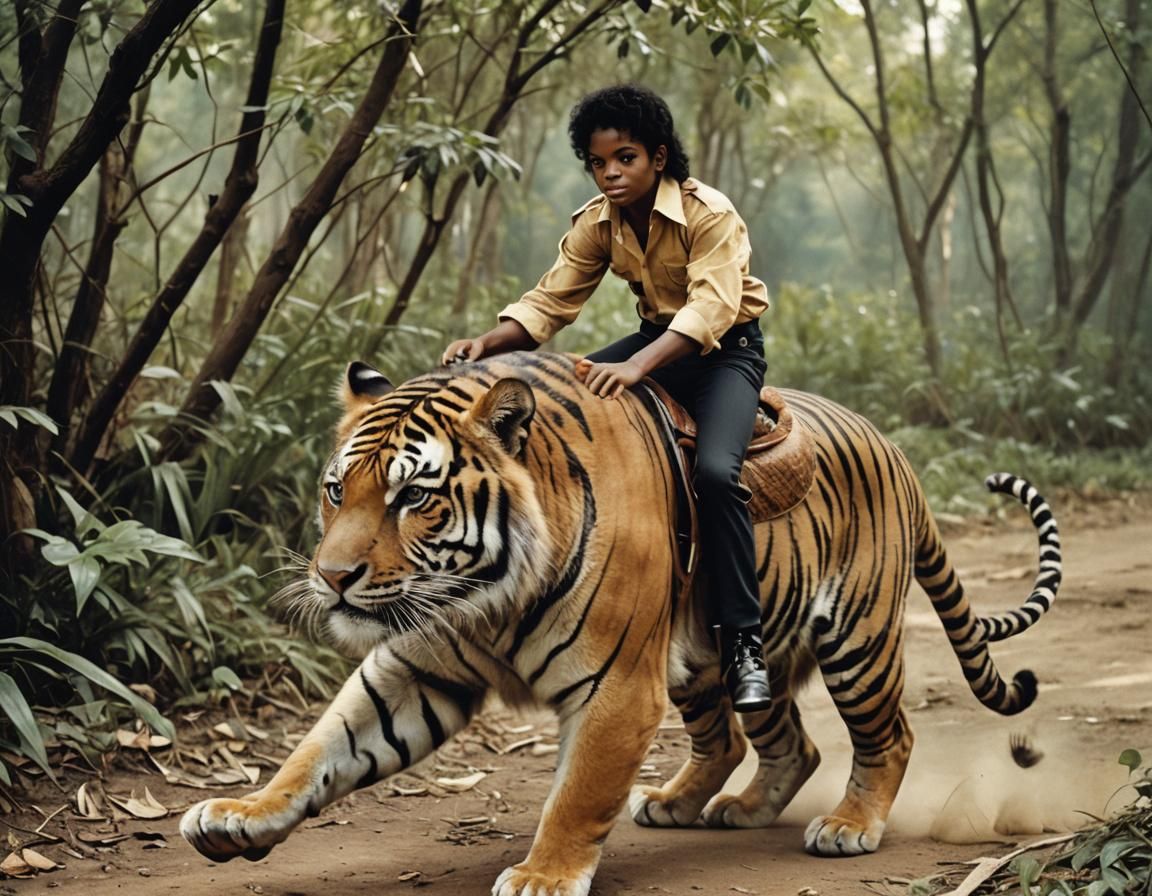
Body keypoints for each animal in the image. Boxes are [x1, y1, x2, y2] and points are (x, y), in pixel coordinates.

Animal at [180, 351, 1062, 896]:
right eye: (338, 490)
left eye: (414, 496)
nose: (332, 579)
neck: (482, 598)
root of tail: (896, 451)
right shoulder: (418, 665)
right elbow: (321, 748)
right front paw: (240, 817)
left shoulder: (617, 686)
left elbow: (576, 794)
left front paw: (541, 876)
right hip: (726, 659)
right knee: (773, 741)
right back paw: (711, 806)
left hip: (857, 641)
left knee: (888, 737)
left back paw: (850, 826)